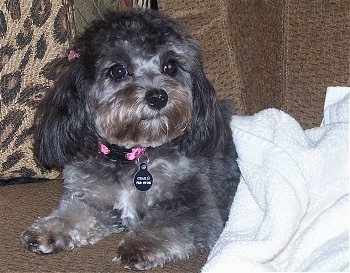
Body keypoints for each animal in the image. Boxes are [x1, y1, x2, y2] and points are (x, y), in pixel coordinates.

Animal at [21, 8, 241, 270]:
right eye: (118, 70)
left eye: (170, 66)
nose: (158, 96)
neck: (131, 154)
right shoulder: (95, 201)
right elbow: (73, 213)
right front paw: (49, 229)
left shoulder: (192, 204)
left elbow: (165, 222)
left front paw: (140, 244)